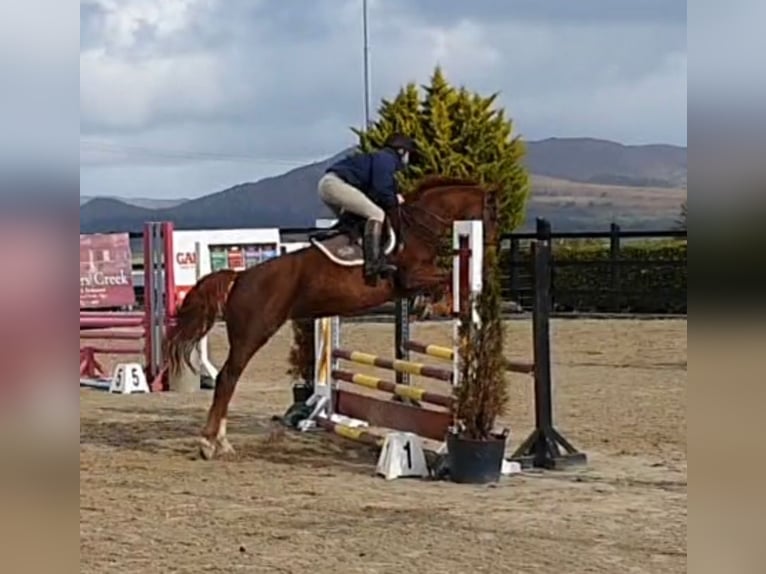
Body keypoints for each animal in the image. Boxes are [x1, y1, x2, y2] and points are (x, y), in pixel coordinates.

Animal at [164, 178, 498, 462]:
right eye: (492, 214)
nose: (493, 246)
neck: (418, 227)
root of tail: (241, 276)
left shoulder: (409, 282)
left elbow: (442, 279)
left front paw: (430, 305)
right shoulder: (411, 276)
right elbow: (445, 278)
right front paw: (442, 303)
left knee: (228, 380)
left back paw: (218, 441)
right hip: (253, 332)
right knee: (227, 378)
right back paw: (212, 443)